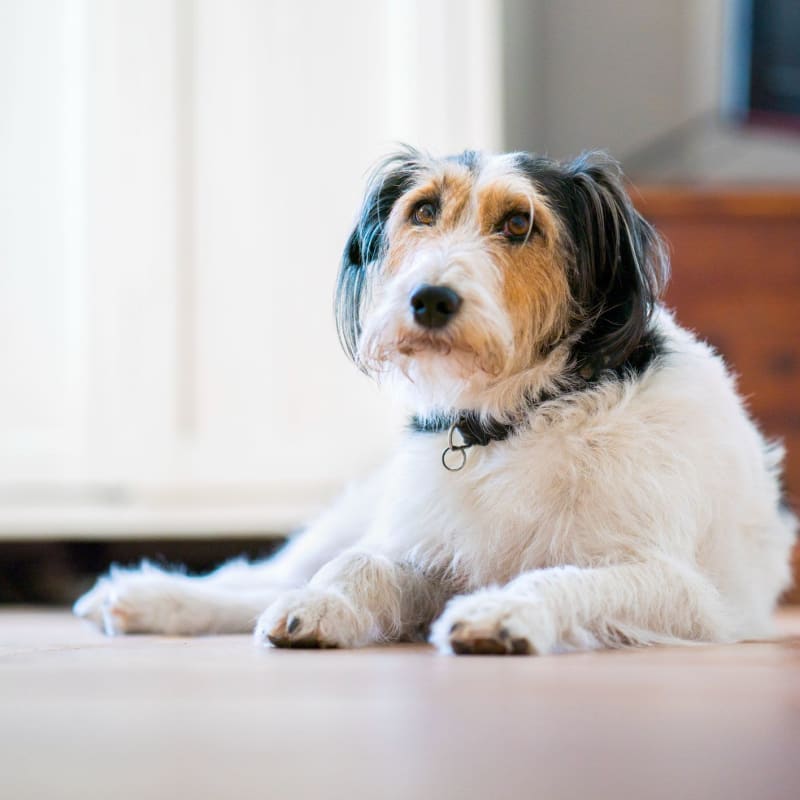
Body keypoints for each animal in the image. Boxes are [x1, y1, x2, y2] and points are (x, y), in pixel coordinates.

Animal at [73, 148, 792, 656]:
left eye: (519, 223)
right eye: (422, 211)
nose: (430, 299)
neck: (517, 419)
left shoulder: (677, 586)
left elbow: (567, 578)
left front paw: (503, 613)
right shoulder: (425, 543)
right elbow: (360, 564)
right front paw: (322, 608)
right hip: (366, 511)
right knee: (270, 572)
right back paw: (146, 596)